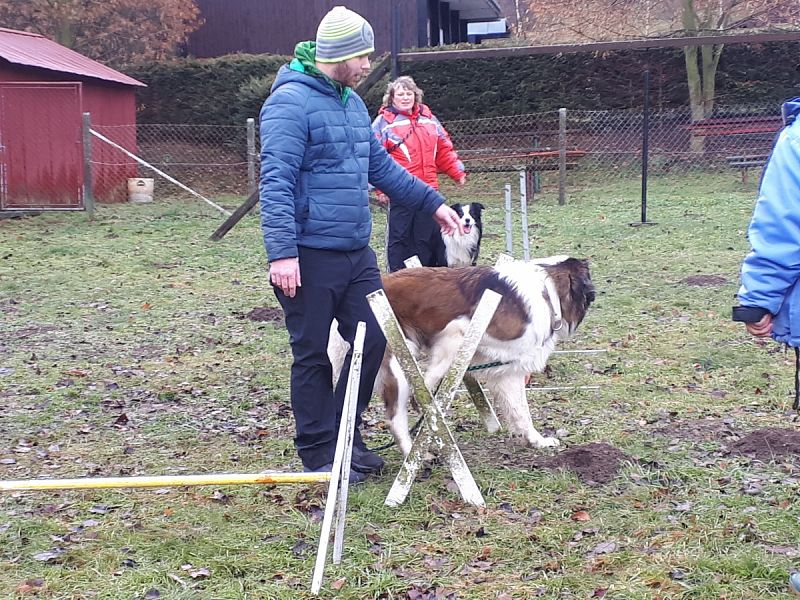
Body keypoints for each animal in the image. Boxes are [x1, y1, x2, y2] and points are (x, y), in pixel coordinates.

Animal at [330, 255, 592, 458]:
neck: (548, 292)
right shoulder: (457, 331)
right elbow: (434, 373)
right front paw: (425, 396)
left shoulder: (508, 372)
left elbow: (521, 412)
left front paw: (536, 440)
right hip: (399, 358)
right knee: (395, 416)